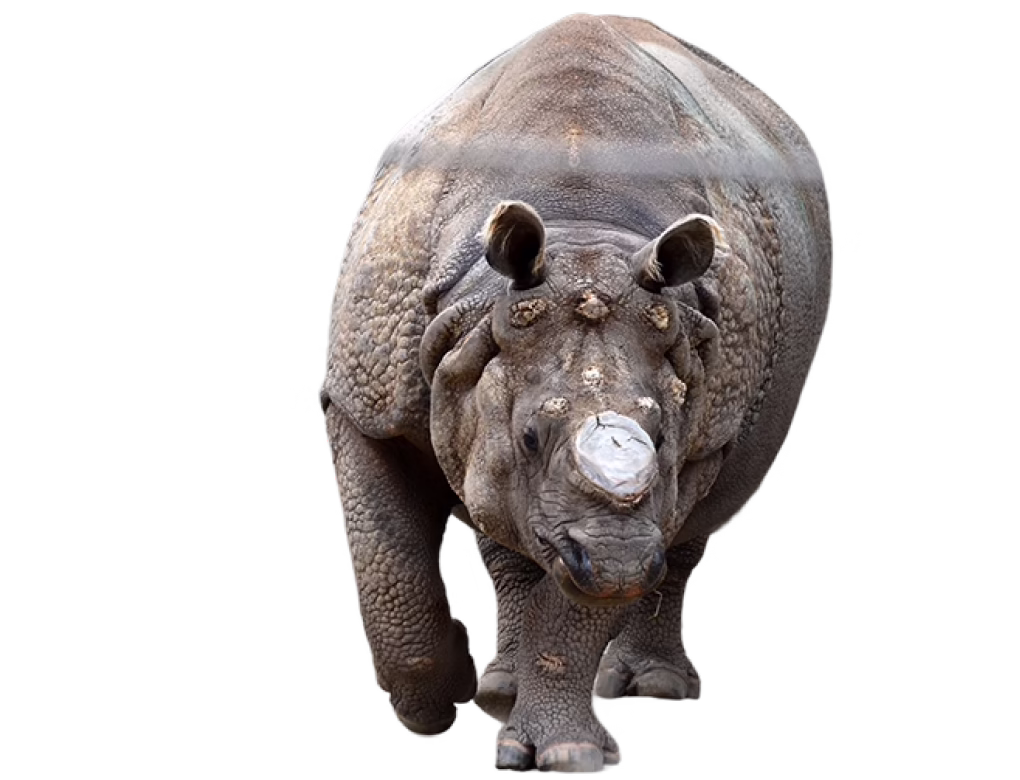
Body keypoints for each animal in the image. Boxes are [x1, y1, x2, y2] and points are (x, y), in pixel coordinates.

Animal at [321, 13, 832, 774]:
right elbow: (386, 553)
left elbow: (600, 590)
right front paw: (432, 707)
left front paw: (568, 756)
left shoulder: (703, 406)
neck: (579, 230)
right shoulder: (363, 396)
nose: (619, 560)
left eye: (665, 435)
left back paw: (645, 688)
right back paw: (495, 688)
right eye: (529, 436)